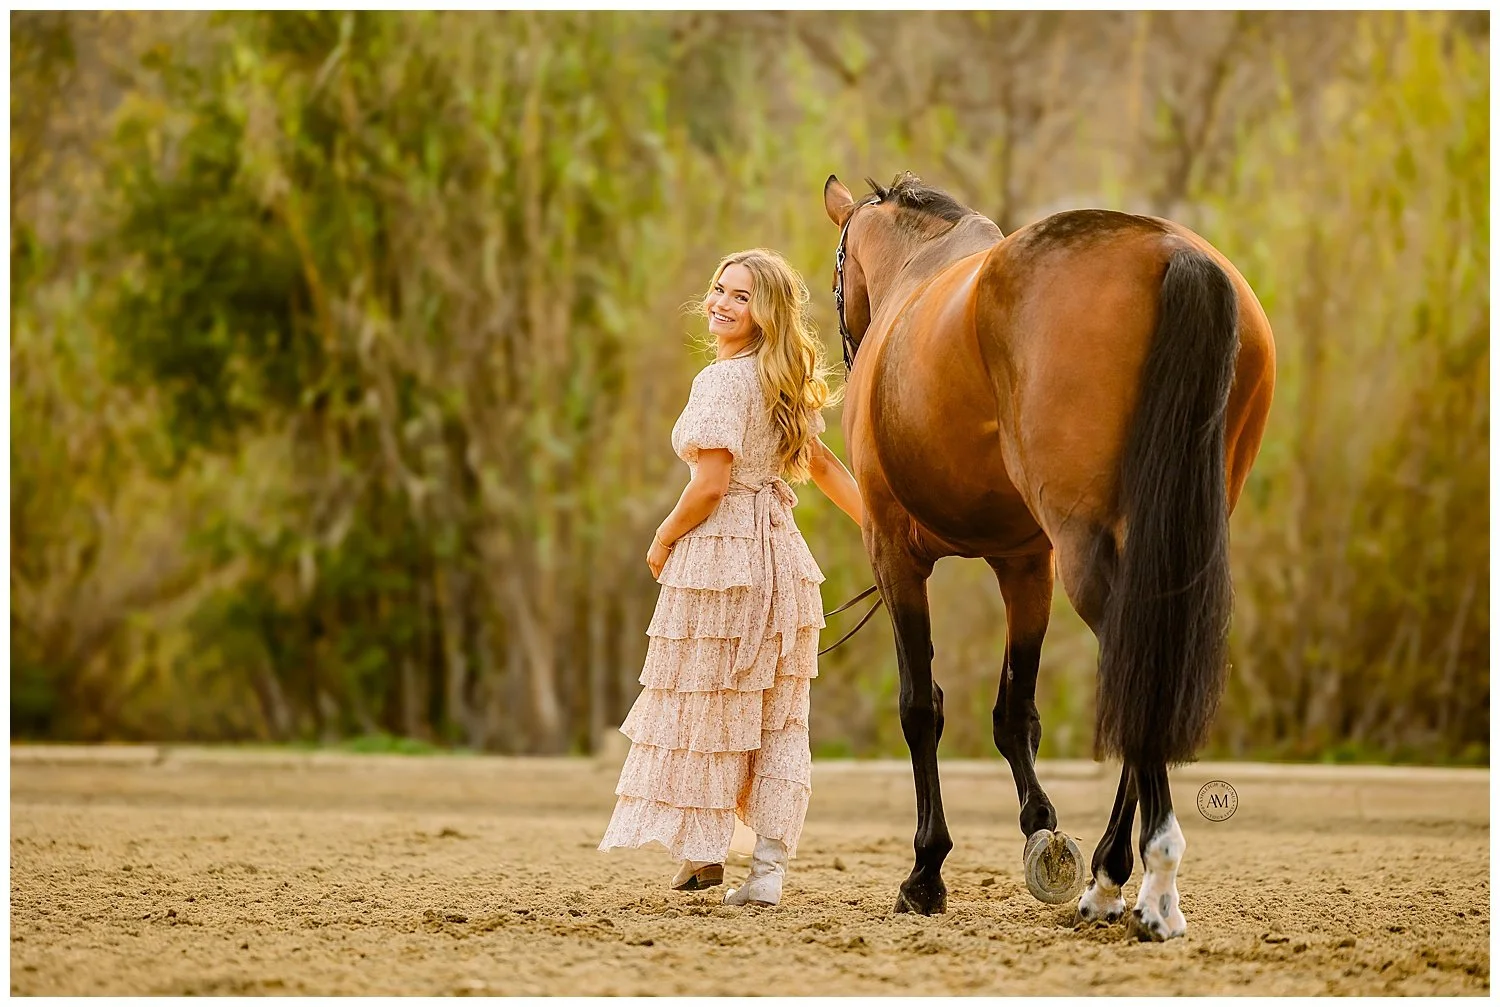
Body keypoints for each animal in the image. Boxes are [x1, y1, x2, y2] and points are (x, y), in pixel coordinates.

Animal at [823, 172, 1275, 941]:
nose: (850, 349)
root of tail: (1174, 251)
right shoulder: (1025, 562)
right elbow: (1015, 713)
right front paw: (1043, 832)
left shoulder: (893, 553)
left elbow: (921, 707)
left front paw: (926, 872)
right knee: (1143, 671)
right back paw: (1111, 877)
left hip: (1088, 549)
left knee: (1135, 667)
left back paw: (1151, 880)